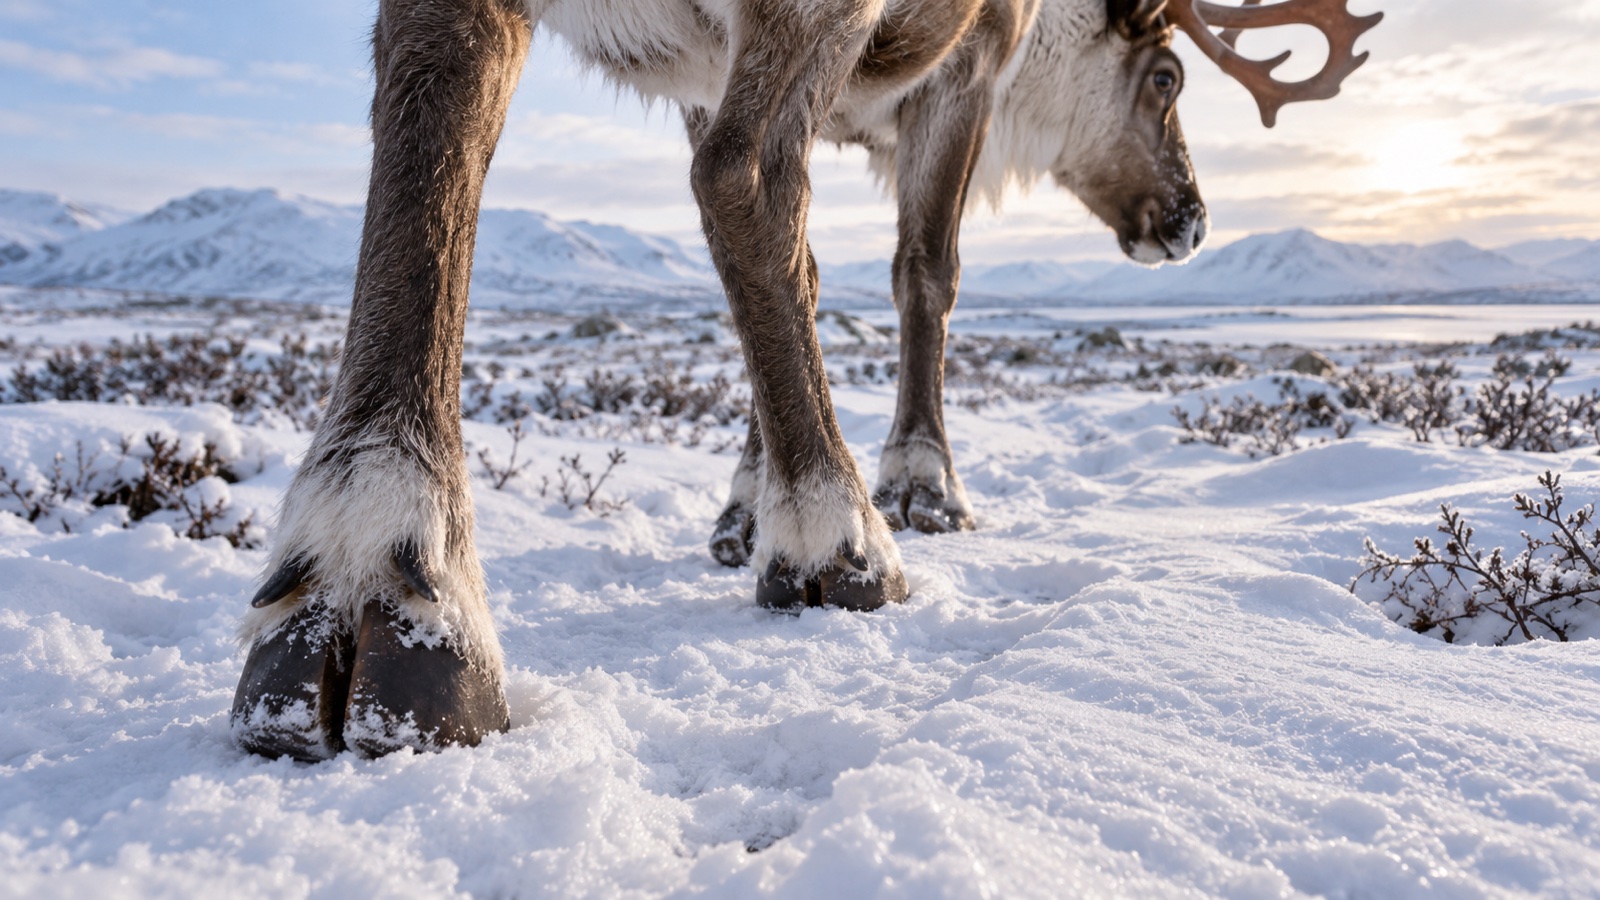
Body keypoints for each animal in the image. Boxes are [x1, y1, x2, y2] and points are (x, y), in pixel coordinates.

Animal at [230, 0, 1381, 760]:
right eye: (1167, 79)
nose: (1190, 223)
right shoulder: (968, 66)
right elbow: (921, 268)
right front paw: (915, 486)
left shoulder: (704, 66)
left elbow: (798, 274)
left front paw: (745, 505)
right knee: (746, 177)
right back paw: (842, 537)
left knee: (439, 73)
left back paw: (366, 564)